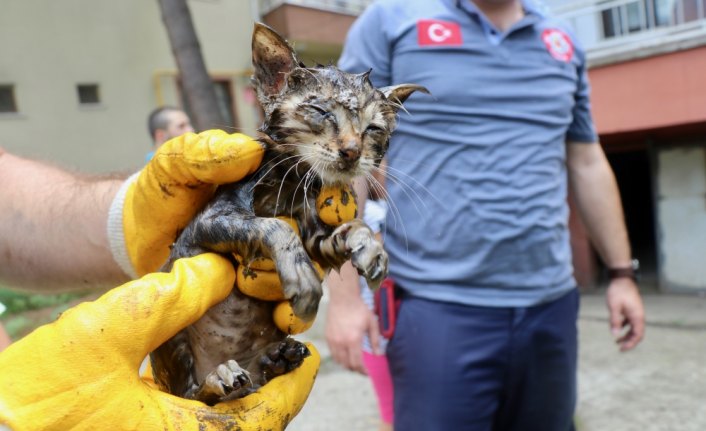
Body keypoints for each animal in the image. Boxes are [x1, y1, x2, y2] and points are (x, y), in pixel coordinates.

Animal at [148, 21, 424, 404]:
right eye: (321, 112)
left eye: (373, 129)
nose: (352, 152)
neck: (290, 185)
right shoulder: (209, 221)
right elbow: (276, 228)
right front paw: (303, 278)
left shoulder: (316, 236)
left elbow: (352, 226)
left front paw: (371, 249)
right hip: (175, 345)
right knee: (192, 395)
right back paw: (219, 379)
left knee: (251, 379)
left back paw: (277, 359)